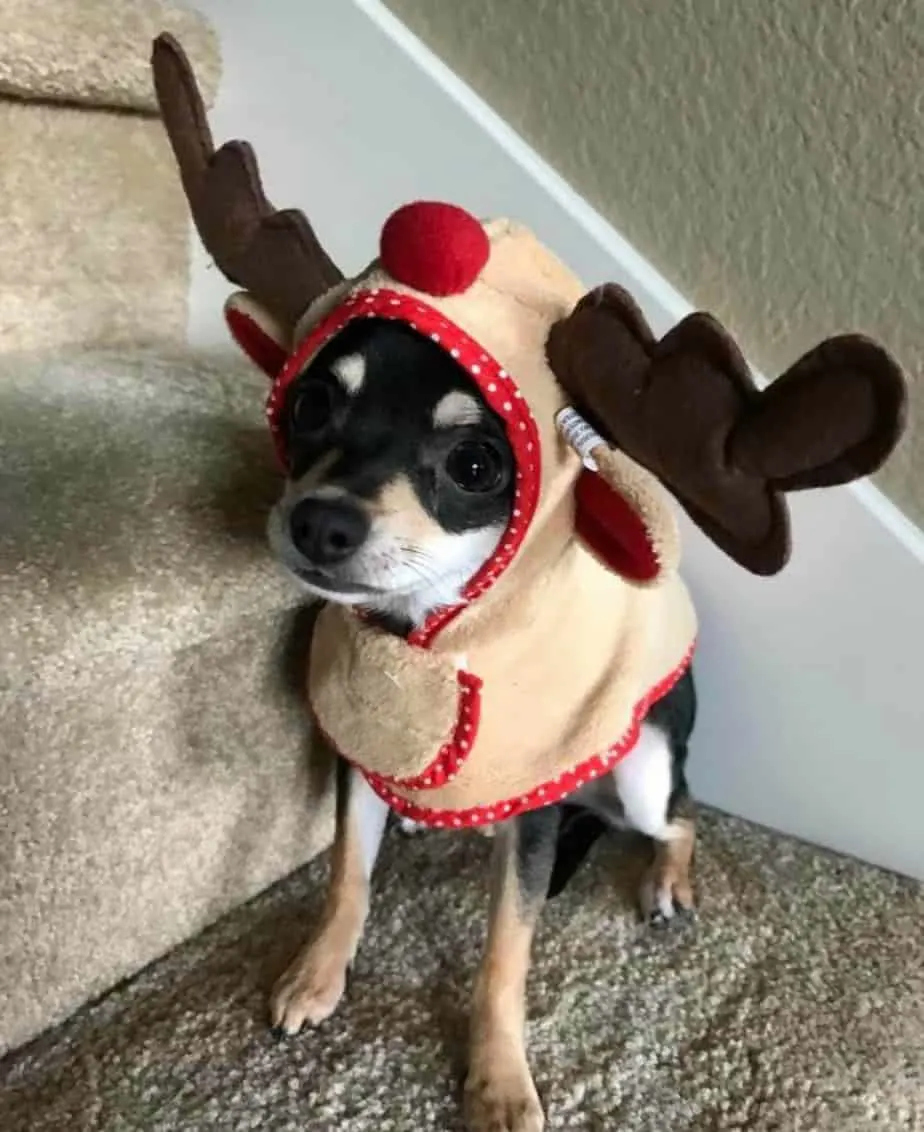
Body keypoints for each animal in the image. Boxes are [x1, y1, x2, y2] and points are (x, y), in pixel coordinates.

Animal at [267, 316, 693, 1132]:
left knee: (681, 819)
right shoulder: (362, 756)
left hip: (644, 772)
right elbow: (347, 877)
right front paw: (317, 973)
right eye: (310, 405)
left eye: (474, 464)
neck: (425, 636)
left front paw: (497, 1080)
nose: (320, 521)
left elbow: (505, 955)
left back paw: (670, 882)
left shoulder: (535, 810)